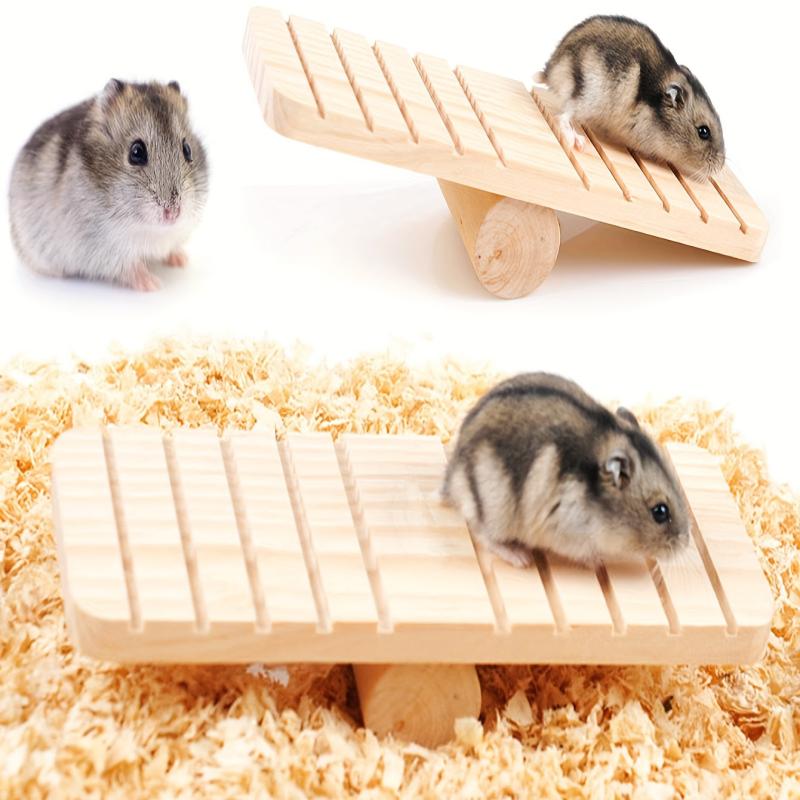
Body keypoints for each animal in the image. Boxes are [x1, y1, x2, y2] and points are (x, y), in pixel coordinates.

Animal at [9, 79, 208, 291]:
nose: (173, 213)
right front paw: (152, 284)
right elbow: (129, 268)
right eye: (136, 152)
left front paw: (182, 260)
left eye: (187, 149)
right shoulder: (103, 250)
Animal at [442, 373, 690, 568]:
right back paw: (521, 558)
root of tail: (452, 478)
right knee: (483, 533)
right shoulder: (569, 534)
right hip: (494, 508)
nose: (686, 543)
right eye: (660, 512)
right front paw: (600, 561)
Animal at [539, 16, 725, 179]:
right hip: (587, 96)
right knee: (564, 116)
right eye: (703, 132)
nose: (720, 166)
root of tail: (551, 70)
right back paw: (578, 142)